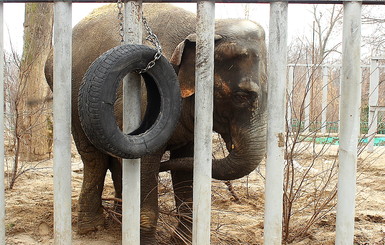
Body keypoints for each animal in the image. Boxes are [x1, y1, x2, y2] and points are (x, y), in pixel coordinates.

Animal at [44, 2, 268, 245]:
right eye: (241, 96)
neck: (199, 27)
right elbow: (145, 164)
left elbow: (185, 166)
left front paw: (180, 240)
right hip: (71, 97)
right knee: (95, 158)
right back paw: (91, 228)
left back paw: (119, 221)